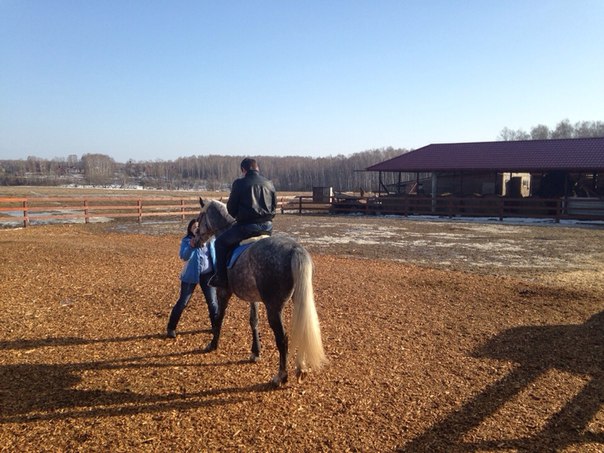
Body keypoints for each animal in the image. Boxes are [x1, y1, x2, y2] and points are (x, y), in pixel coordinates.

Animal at [194, 198, 326, 386]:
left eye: (200, 217)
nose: (195, 241)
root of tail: (295, 249)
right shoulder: (253, 298)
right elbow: (253, 321)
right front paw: (255, 352)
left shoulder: (223, 291)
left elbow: (219, 317)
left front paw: (212, 345)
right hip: (298, 300)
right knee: (301, 331)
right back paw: (301, 369)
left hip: (273, 308)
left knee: (282, 339)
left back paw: (281, 376)